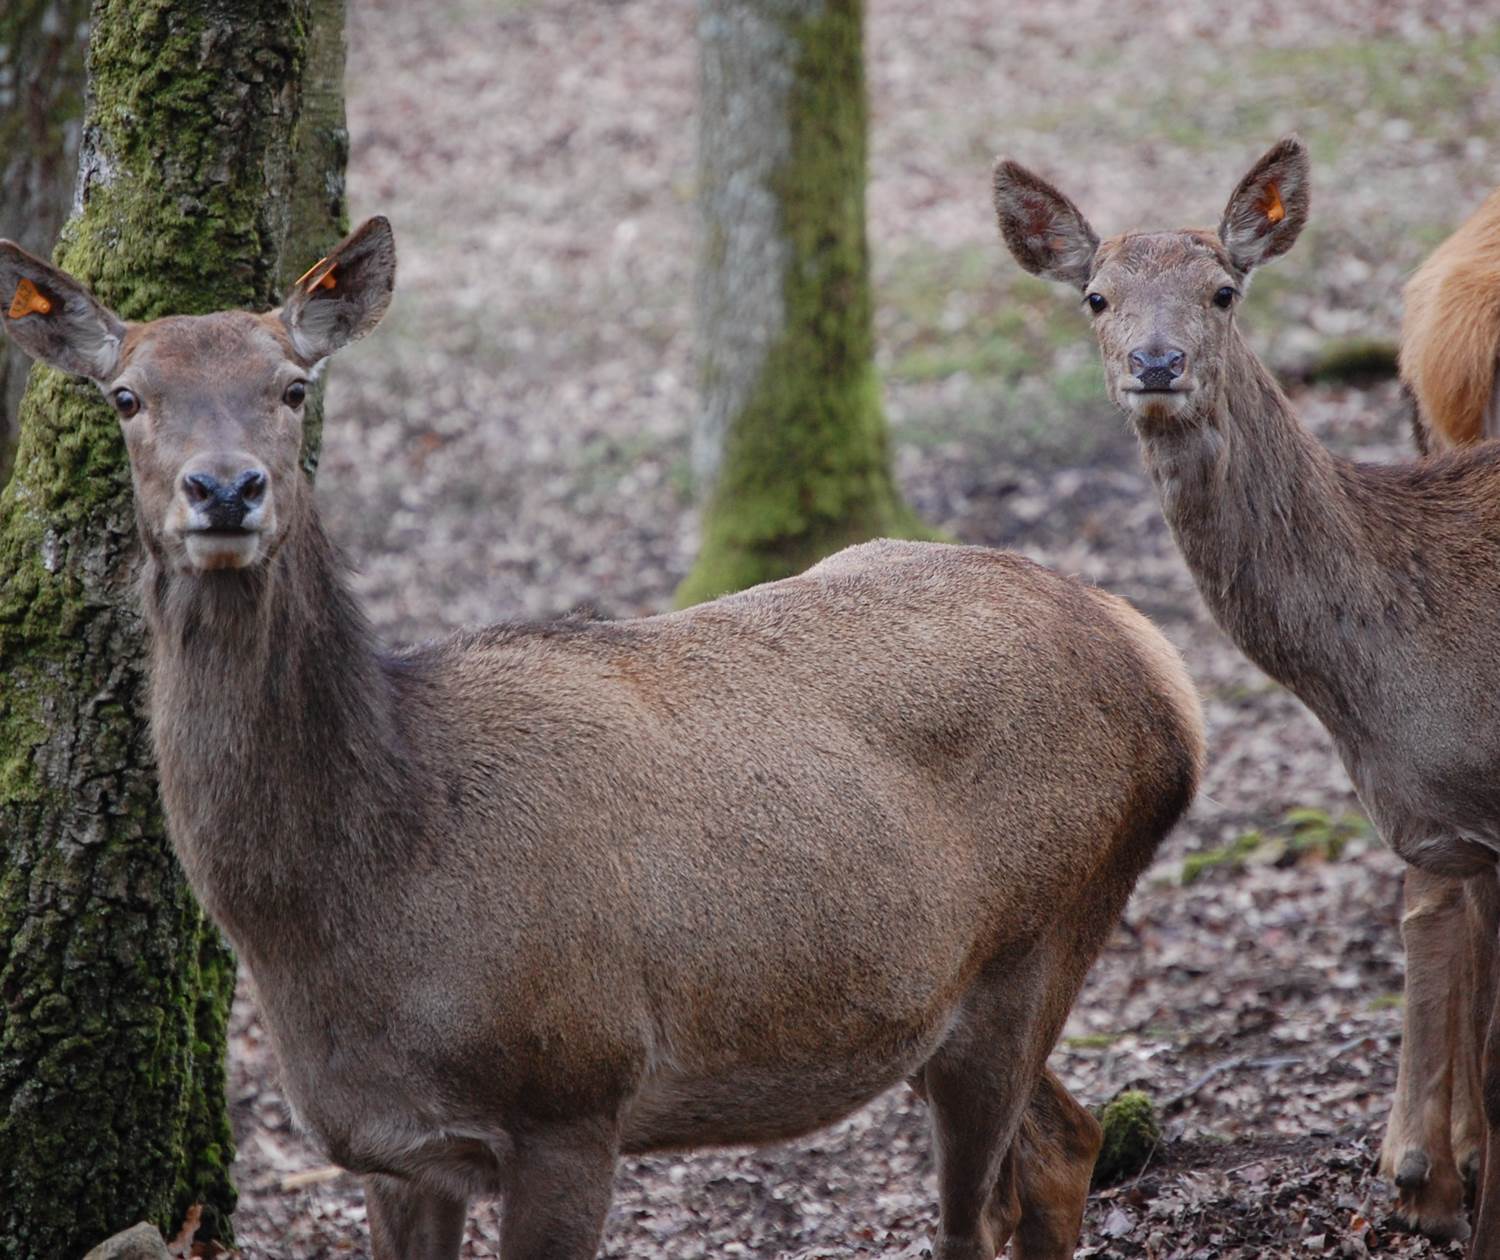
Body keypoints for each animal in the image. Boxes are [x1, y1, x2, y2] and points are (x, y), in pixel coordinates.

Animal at [0, 218, 1204, 1260]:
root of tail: (1162, 668)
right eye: (127, 397)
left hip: (1038, 938)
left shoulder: (574, 1093)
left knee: (979, 1210)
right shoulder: (389, 1151)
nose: (225, 488)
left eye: (293, 388)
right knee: (1064, 1148)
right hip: (952, 1003)